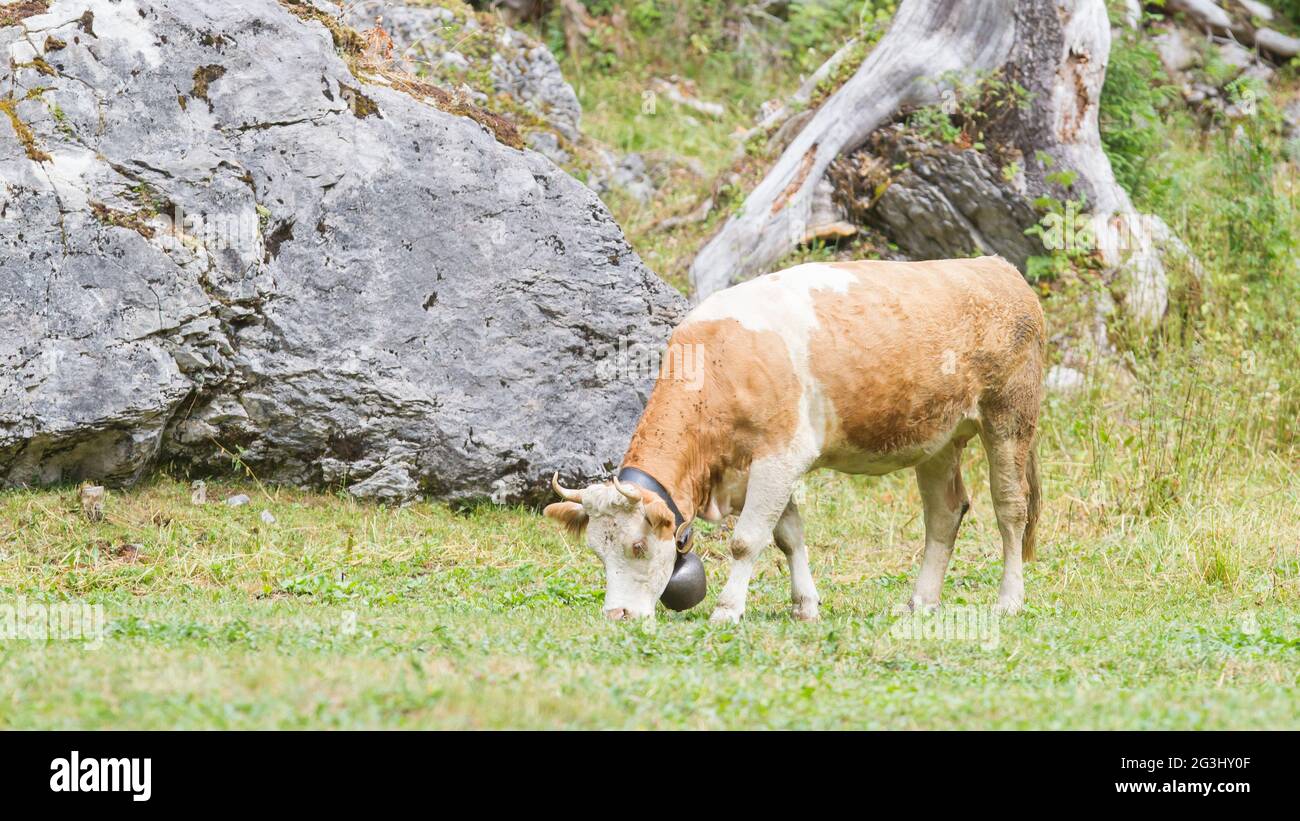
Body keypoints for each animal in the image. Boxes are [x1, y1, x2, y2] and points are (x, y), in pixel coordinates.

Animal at [546, 256, 1045, 623]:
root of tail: (996, 267)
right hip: (937, 438)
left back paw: (1009, 600)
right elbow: (788, 536)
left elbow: (746, 540)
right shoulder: (763, 467)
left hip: (1010, 417)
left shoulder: (781, 456)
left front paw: (727, 610)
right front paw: (805, 606)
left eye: (637, 546)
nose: (617, 615)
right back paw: (920, 602)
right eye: (597, 550)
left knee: (1010, 510)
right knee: (944, 513)